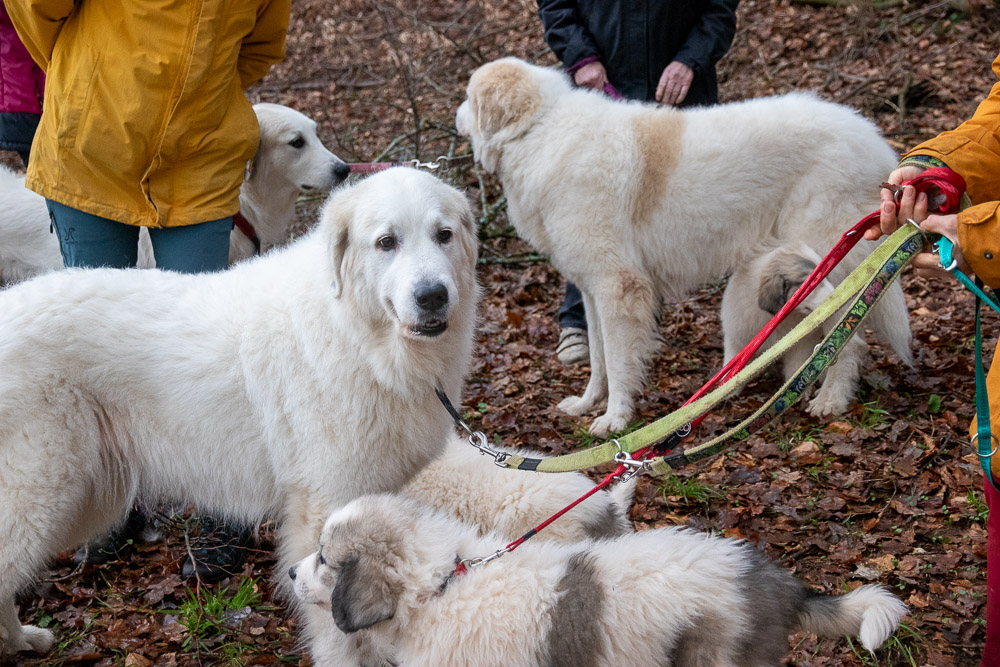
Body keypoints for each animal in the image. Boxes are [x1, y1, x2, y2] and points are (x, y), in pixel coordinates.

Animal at [0, 168, 478, 664]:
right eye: (386, 242)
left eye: (444, 235)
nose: (432, 296)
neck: (357, 333)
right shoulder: (324, 508)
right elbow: (335, 624)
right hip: (42, 496)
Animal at [458, 58, 912, 438]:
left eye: (467, 97)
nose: (457, 115)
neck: (541, 129)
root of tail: (874, 140)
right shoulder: (591, 290)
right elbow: (599, 358)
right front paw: (588, 403)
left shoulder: (617, 287)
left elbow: (619, 363)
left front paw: (615, 420)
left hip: (824, 263)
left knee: (850, 337)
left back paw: (829, 401)